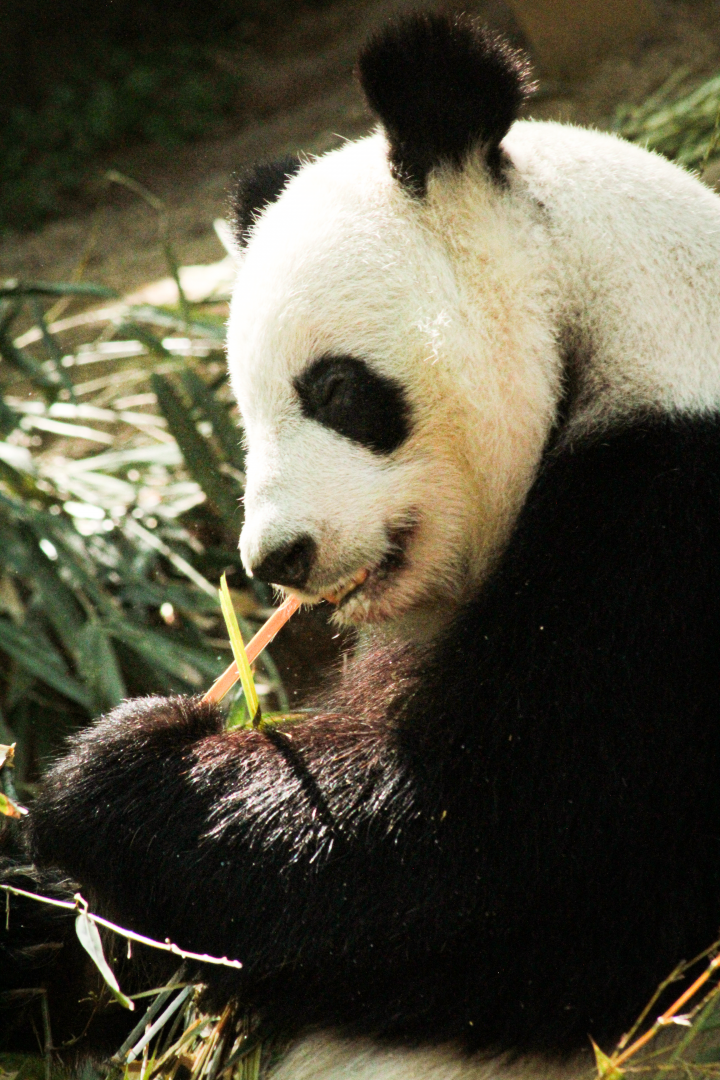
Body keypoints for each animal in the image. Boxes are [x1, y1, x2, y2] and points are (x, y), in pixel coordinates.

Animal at [15, 12, 720, 1080]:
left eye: (336, 388)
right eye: (242, 410)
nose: (276, 561)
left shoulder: (673, 527)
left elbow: (491, 856)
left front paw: (113, 770)